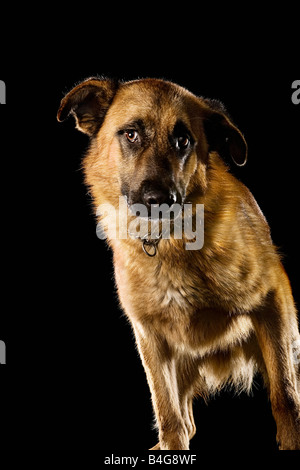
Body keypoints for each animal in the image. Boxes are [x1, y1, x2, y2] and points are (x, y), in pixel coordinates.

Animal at [56, 78, 300, 452]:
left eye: (182, 140)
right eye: (131, 134)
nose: (160, 200)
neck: (168, 244)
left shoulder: (272, 304)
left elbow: (284, 397)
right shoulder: (151, 339)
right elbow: (169, 417)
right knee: (184, 421)